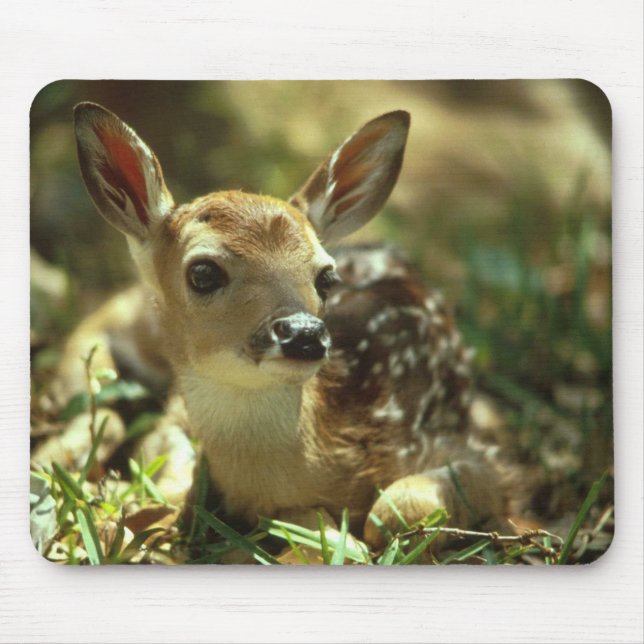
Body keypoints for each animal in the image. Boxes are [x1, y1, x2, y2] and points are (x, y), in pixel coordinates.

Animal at [65, 102, 519, 552]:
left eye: (327, 278)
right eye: (203, 272)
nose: (304, 333)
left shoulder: (479, 454)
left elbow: (392, 512)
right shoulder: (175, 418)